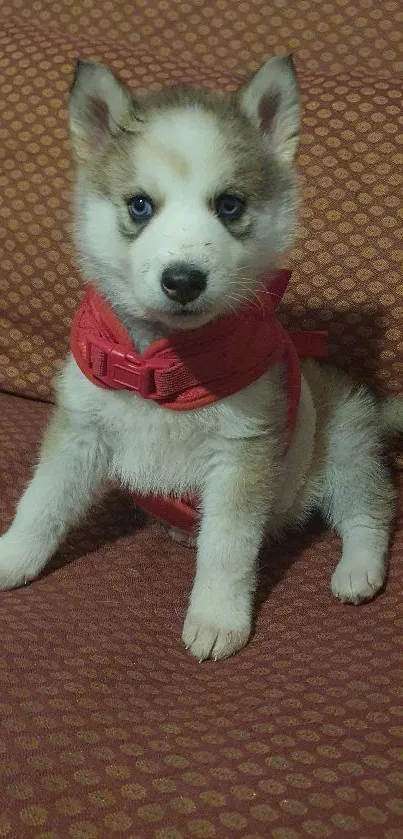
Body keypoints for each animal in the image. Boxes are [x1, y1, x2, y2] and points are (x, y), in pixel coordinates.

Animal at [0, 57, 400, 664]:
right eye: (140, 205)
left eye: (228, 205)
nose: (184, 279)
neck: (162, 370)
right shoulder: (80, 432)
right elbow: (41, 505)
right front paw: (12, 557)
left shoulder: (240, 454)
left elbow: (226, 549)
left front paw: (217, 618)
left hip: (345, 450)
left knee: (369, 511)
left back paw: (357, 570)